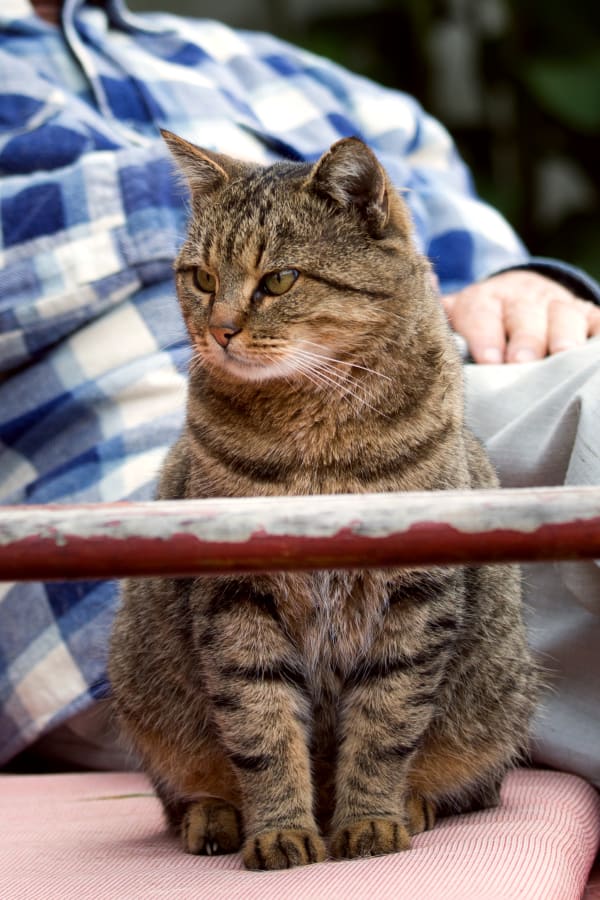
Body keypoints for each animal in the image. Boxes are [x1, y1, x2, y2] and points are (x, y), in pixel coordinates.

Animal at [109, 130, 540, 868]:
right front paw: (280, 830)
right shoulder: (235, 600)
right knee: (184, 792)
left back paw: (414, 805)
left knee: (469, 783)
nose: (219, 329)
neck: (316, 443)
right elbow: (261, 727)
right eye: (201, 278)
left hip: (497, 700)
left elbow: (385, 723)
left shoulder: (415, 596)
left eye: (279, 279)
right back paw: (216, 816)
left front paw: (369, 819)